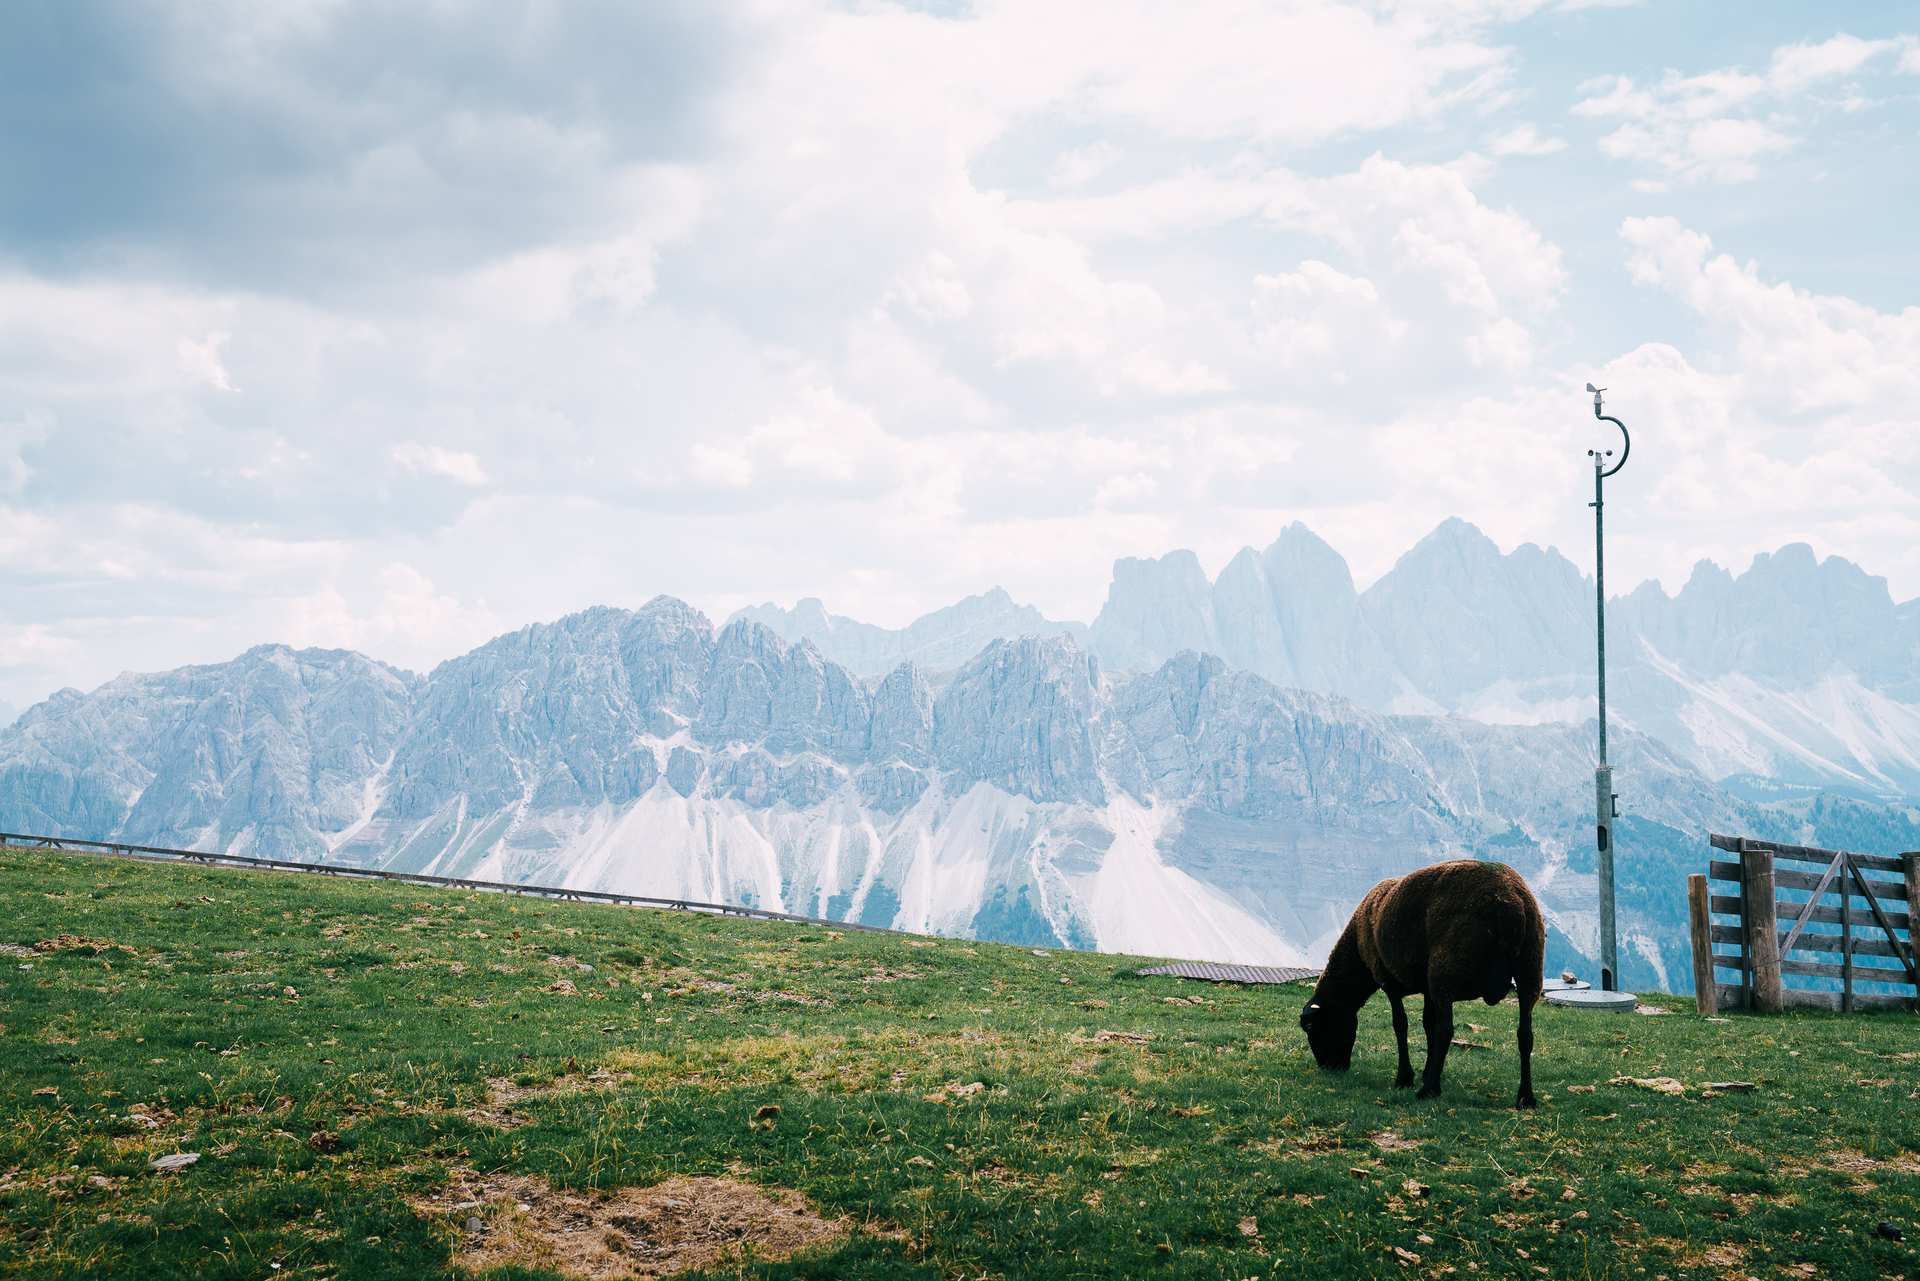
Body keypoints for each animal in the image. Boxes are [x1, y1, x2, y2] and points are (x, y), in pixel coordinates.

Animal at [1298, 859, 1545, 1108]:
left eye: (1311, 1027)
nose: (1330, 1068)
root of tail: (1511, 903)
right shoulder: (1427, 989)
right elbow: (1427, 1024)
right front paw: (1426, 1070)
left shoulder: (1389, 981)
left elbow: (1401, 1025)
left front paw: (1405, 1078)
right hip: (1530, 968)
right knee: (1525, 1034)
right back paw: (1526, 1097)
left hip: (1445, 970)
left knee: (1446, 1030)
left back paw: (1429, 1090)